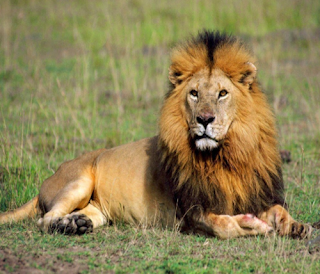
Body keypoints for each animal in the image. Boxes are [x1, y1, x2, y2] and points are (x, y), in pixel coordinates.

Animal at [0, 30, 312, 240]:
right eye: (194, 94)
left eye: (223, 93)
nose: (205, 119)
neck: (226, 156)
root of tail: (49, 178)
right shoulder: (191, 213)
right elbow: (226, 225)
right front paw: (253, 225)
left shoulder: (255, 192)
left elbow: (280, 211)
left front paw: (298, 226)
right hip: (78, 181)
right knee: (44, 219)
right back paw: (64, 226)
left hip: (97, 209)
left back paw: (78, 224)